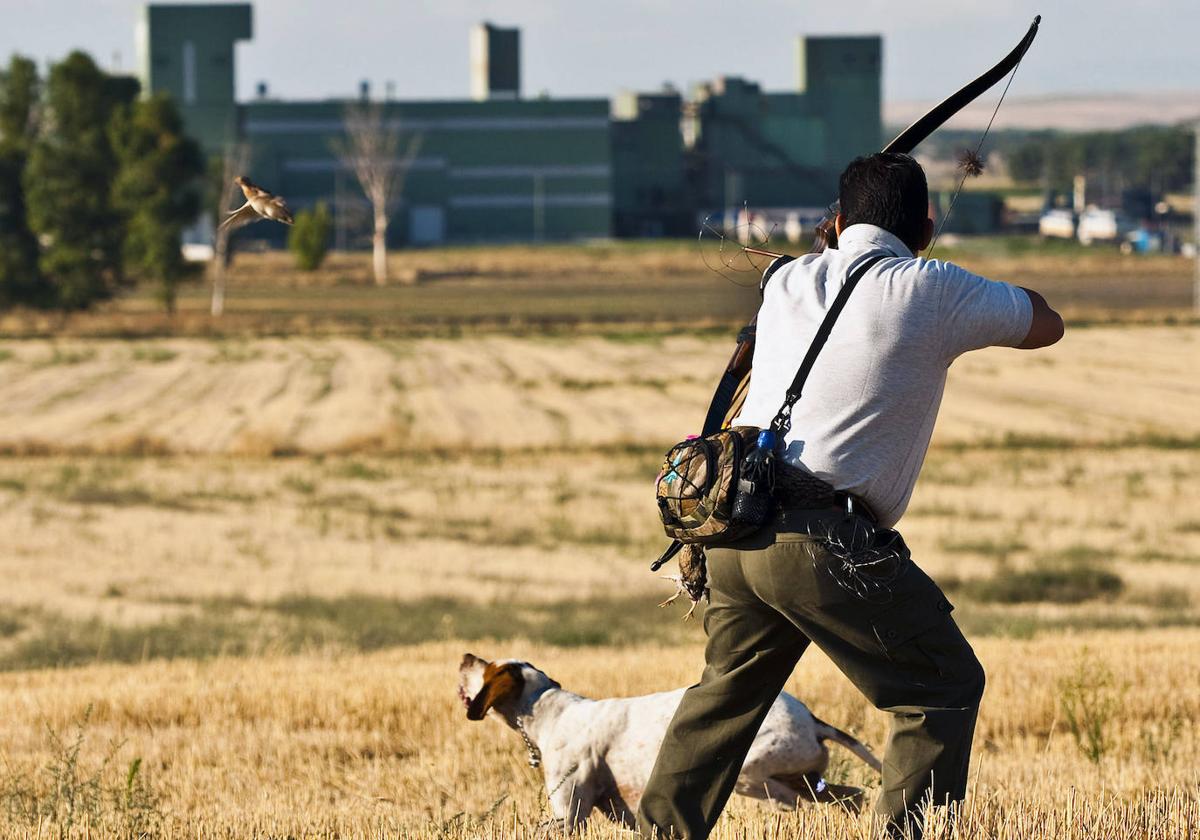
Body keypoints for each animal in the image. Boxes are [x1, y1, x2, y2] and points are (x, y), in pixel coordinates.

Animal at [458, 652, 883, 830]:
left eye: (486, 665)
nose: (465, 655)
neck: (549, 708)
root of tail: (812, 720)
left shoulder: (569, 812)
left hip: (756, 775)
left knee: (795, 804)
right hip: (809, 780)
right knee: (852, 797)